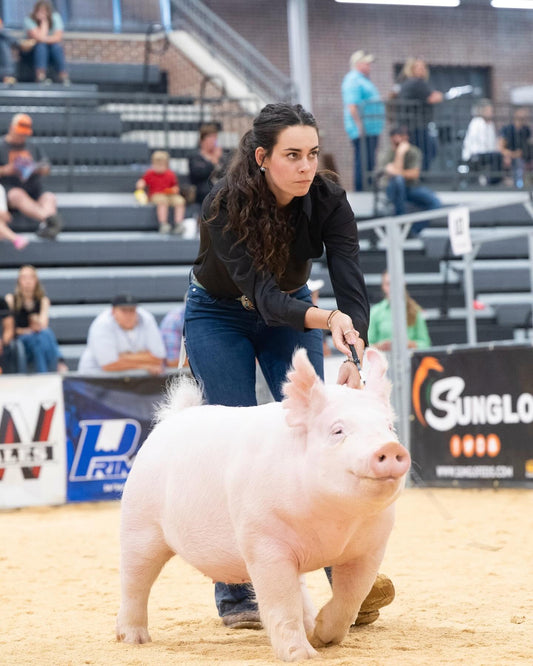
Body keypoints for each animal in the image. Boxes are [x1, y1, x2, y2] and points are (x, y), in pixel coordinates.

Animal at [116, 347, 410, 662]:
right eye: (337, 431)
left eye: (389, 427)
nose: (390, 448)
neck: (334, 524)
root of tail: (173, 417)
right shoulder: (264, 543)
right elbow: (281, 602)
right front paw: (302, 656)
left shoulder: (370, 547)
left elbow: (351, 597)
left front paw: (323, 638)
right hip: (138, 523)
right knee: (134, 581)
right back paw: (133, 639)